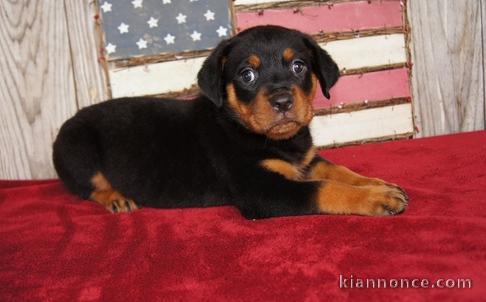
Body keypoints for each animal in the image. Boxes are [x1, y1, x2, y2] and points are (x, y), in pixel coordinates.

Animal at [53, 25, 408, 219]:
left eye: (298, 66)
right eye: (246, 75)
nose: (282, 101)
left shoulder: (307, 161)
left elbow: (338, 171)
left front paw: (379, 184)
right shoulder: (261, 191)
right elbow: (324, 188)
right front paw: (376, 198)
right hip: (78, 149)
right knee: (88, 187)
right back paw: (116, 198)